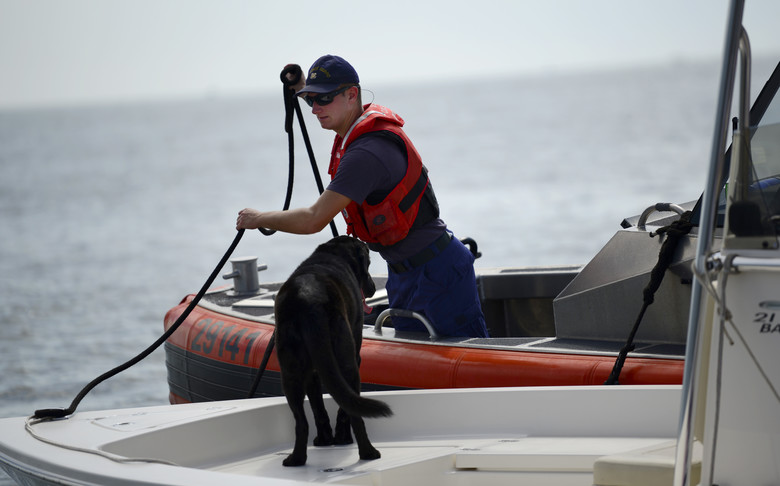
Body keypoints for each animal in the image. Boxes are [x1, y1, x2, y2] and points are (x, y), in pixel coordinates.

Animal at [278, 235, 394, 468]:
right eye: (368, 262)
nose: (371, 286)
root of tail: (310, 300)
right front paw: (339, 439)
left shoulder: (313, 372)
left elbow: (317, 407)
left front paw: (324, 440)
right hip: (347, 360)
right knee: (354, 411)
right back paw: (367, 451)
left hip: (290, 371)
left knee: (301, 421)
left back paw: (296, 459)